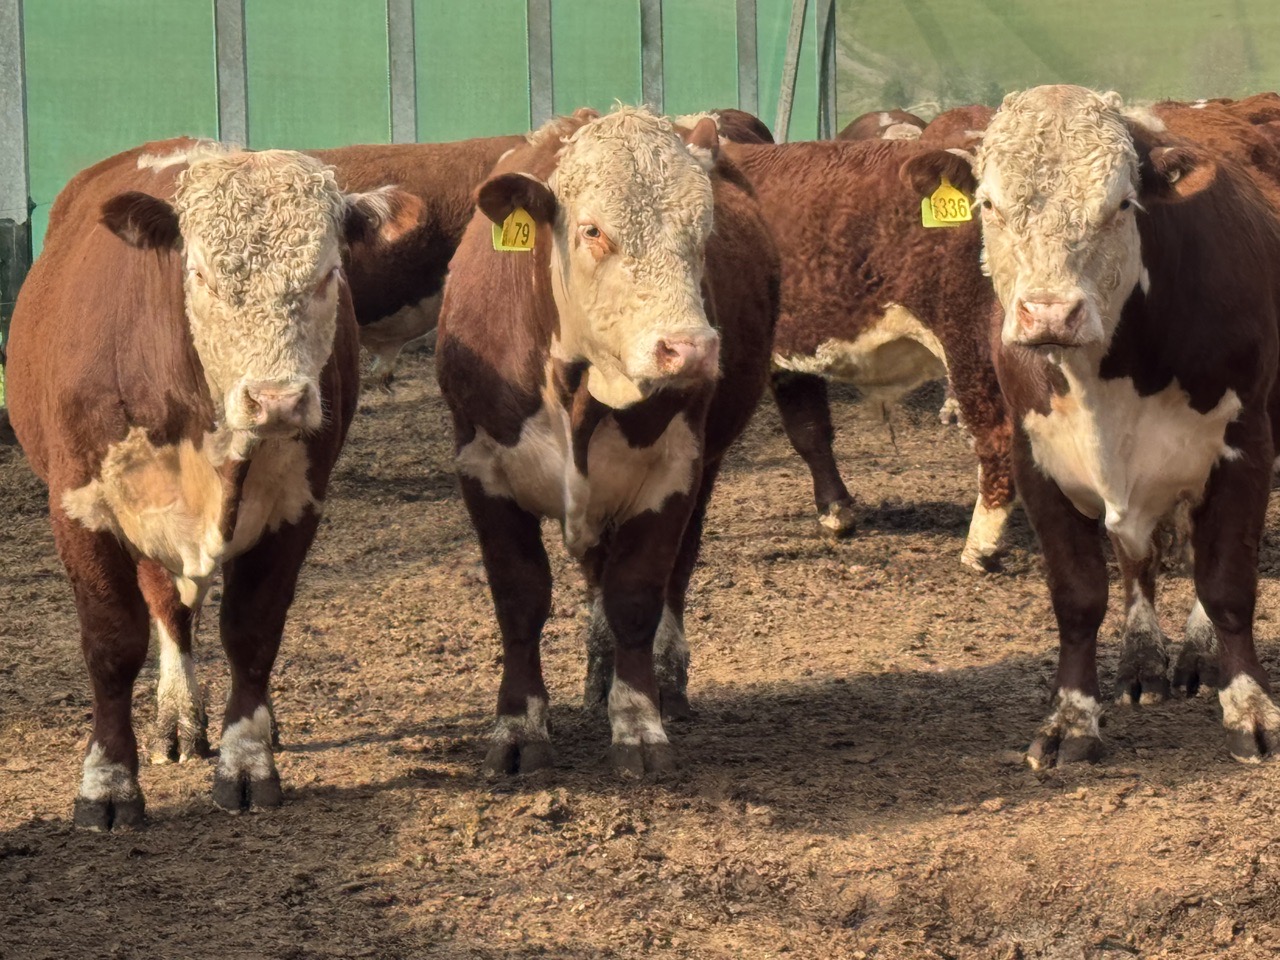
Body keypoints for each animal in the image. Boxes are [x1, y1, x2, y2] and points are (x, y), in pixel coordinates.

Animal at [5, 141, 419, 828]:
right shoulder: (81, 508)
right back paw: (176, 717)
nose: (277, 400)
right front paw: (107, 782)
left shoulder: (296, 507)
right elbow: (113, 643)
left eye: (329, 273)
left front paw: (247, 760)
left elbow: (253, 632)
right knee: (168, 607)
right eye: (199, 275)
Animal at [436, 106, 778, 776]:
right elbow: (520, 596)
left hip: (706, 465)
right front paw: (519, 728)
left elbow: (637, 595)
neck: (578, 394)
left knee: (674, 573)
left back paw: (662, 679)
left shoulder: (672, 471)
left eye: (704, 232)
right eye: (593, 230)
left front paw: (639, 724)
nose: (690, 349)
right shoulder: (481, 466)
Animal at [719, 136, 1014, 570]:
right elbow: (809, 430)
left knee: (996, 435)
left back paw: (981, 547)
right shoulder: (791, 352)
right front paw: (836, 511)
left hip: (969, 340)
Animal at [904, 84, 1280, 766]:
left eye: (1121, 204)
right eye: (989, 203)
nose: (1050, 312)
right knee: (1139, 560)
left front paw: (1250, 708)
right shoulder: (1038, 461)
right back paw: (1142, 662)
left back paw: (1197, 654)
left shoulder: (1245, 446)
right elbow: (1079, 597)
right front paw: (1072, 719)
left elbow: (1228, 584)